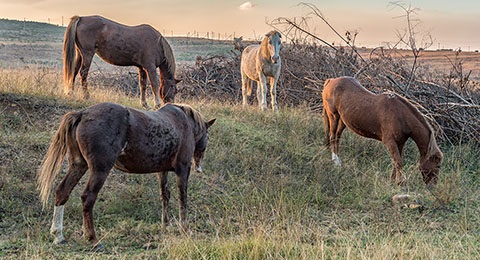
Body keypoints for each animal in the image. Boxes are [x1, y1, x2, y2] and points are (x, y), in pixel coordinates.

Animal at [37, 101, 216, 248]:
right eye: (207, 136)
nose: (199, 166)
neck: (181, 122)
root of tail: (83, 113)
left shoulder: (162, 171)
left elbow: (165, 195)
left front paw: (166, 224)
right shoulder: (183, 170)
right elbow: (182, 198)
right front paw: (185, 229)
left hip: (79, 166)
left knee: (62, 192)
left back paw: (58, 235)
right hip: (99, 170)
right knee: (87, 198)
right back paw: (93, 239)